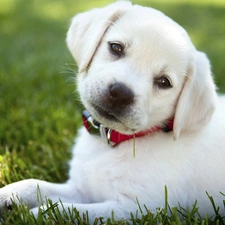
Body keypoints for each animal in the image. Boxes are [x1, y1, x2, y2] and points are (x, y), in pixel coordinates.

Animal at [0, 1, 225, 223]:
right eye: (116, 47)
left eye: (164, 82)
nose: (121, 93)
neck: (111, 142)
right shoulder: (82, 189)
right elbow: (37, 185)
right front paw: (8, 195)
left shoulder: (138, 209)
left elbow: (68, 211)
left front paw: (34, 215)